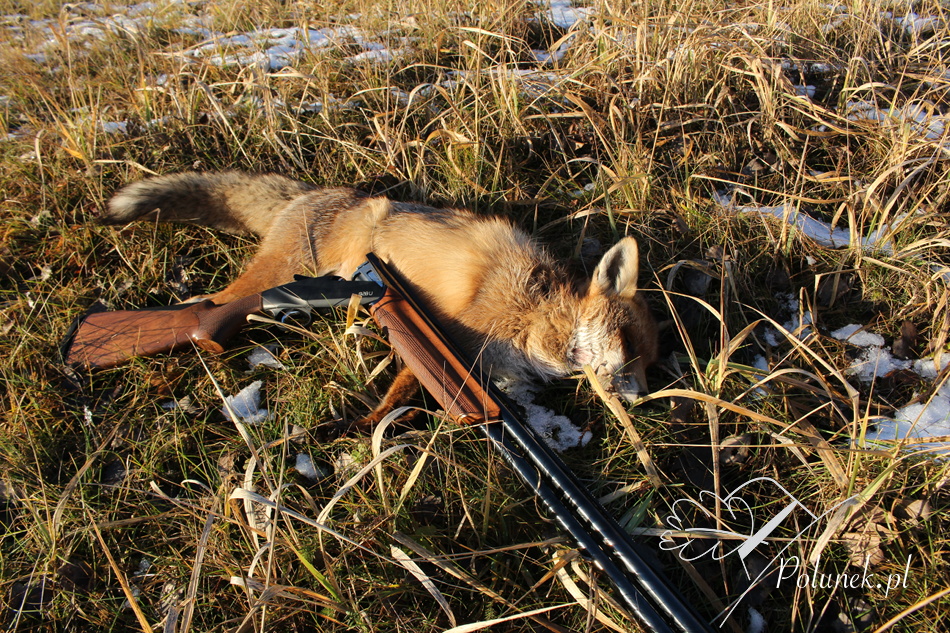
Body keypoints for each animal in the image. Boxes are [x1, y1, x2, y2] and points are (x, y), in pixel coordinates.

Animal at [103, 171, 659, 425]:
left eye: (650, 362)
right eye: (629, 344)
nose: (640, 399)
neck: (538, 313)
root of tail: (311, 194)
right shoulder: (454, 338)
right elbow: (406, 389)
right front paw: (368, 429)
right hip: (266, 281)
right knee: (206, 308)